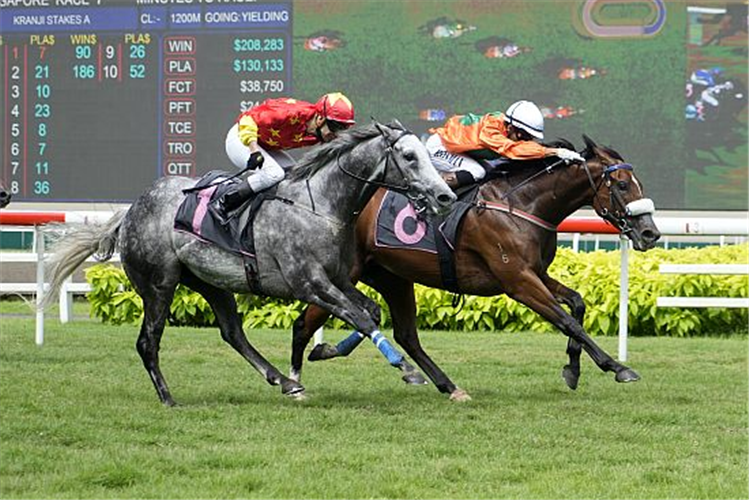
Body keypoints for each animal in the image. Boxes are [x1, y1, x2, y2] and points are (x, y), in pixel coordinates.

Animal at [42, 122, 456, 406]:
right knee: (148, 342)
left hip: (210, 282)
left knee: (232, 333)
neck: (320, 206)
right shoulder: (310, 284)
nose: (445, 196)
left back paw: (285, 382)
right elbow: (362, 318)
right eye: (409, 157)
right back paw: (168, 397)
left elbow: (369, 312)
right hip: (159, 284)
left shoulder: (337, 279)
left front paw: (324, 351)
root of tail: (127, 214)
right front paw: (407, 371)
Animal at [290, 135, 656, 400]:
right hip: (344, 274)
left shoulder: (536, 273)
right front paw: (617, 367)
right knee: (304, 324)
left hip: (393, 276)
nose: (650, 233)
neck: (521, 204)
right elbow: (567, 321)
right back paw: (297, 377)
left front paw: (573, 369)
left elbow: (577, 305)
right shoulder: (518, 281)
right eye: (622, 185)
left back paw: (446, 386)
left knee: (406, 335)